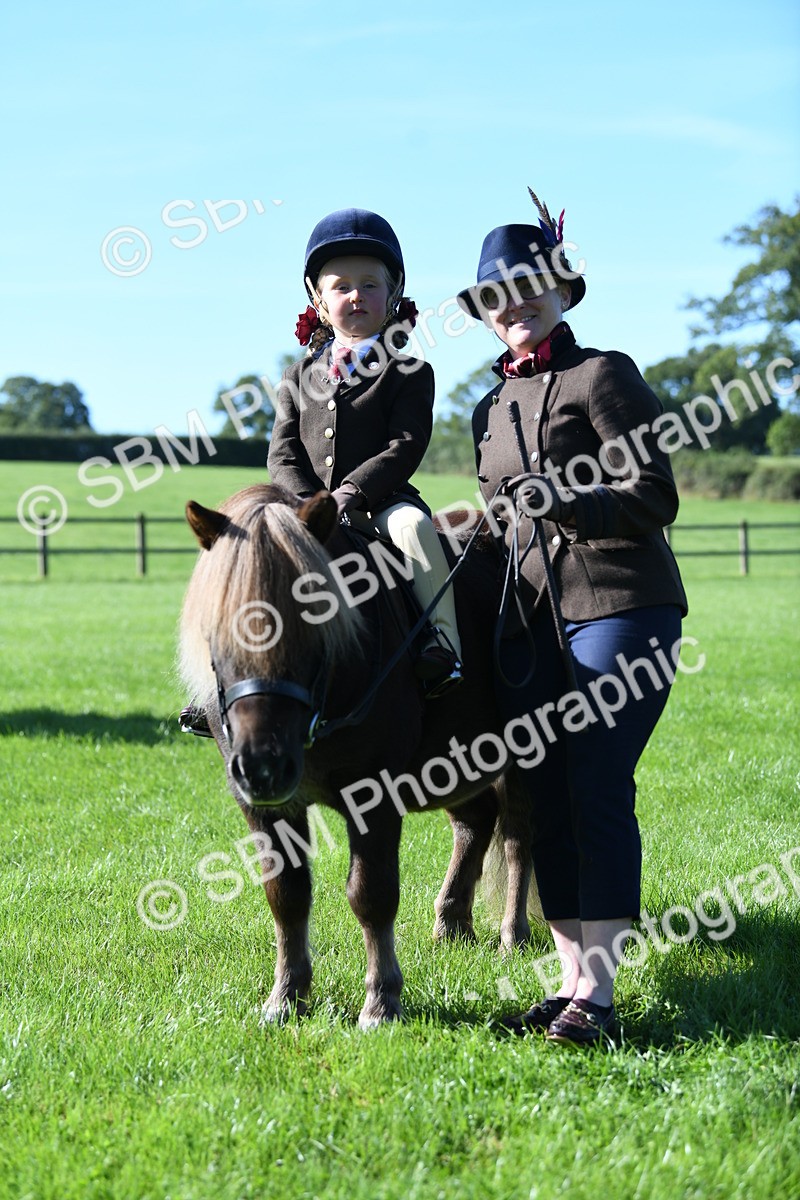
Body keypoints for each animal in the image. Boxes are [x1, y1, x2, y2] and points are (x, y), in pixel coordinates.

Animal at [178, 483, 535, 1028]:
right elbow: (287, 894)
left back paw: (512, 936)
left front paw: (382, 1001)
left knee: (517, 837)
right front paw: (286, 996)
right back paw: (452, 923)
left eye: (313, 619)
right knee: (475, 823)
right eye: (216, 628)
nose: (263, 767)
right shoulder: (264, 808)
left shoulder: (375, 794)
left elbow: (371, 894)